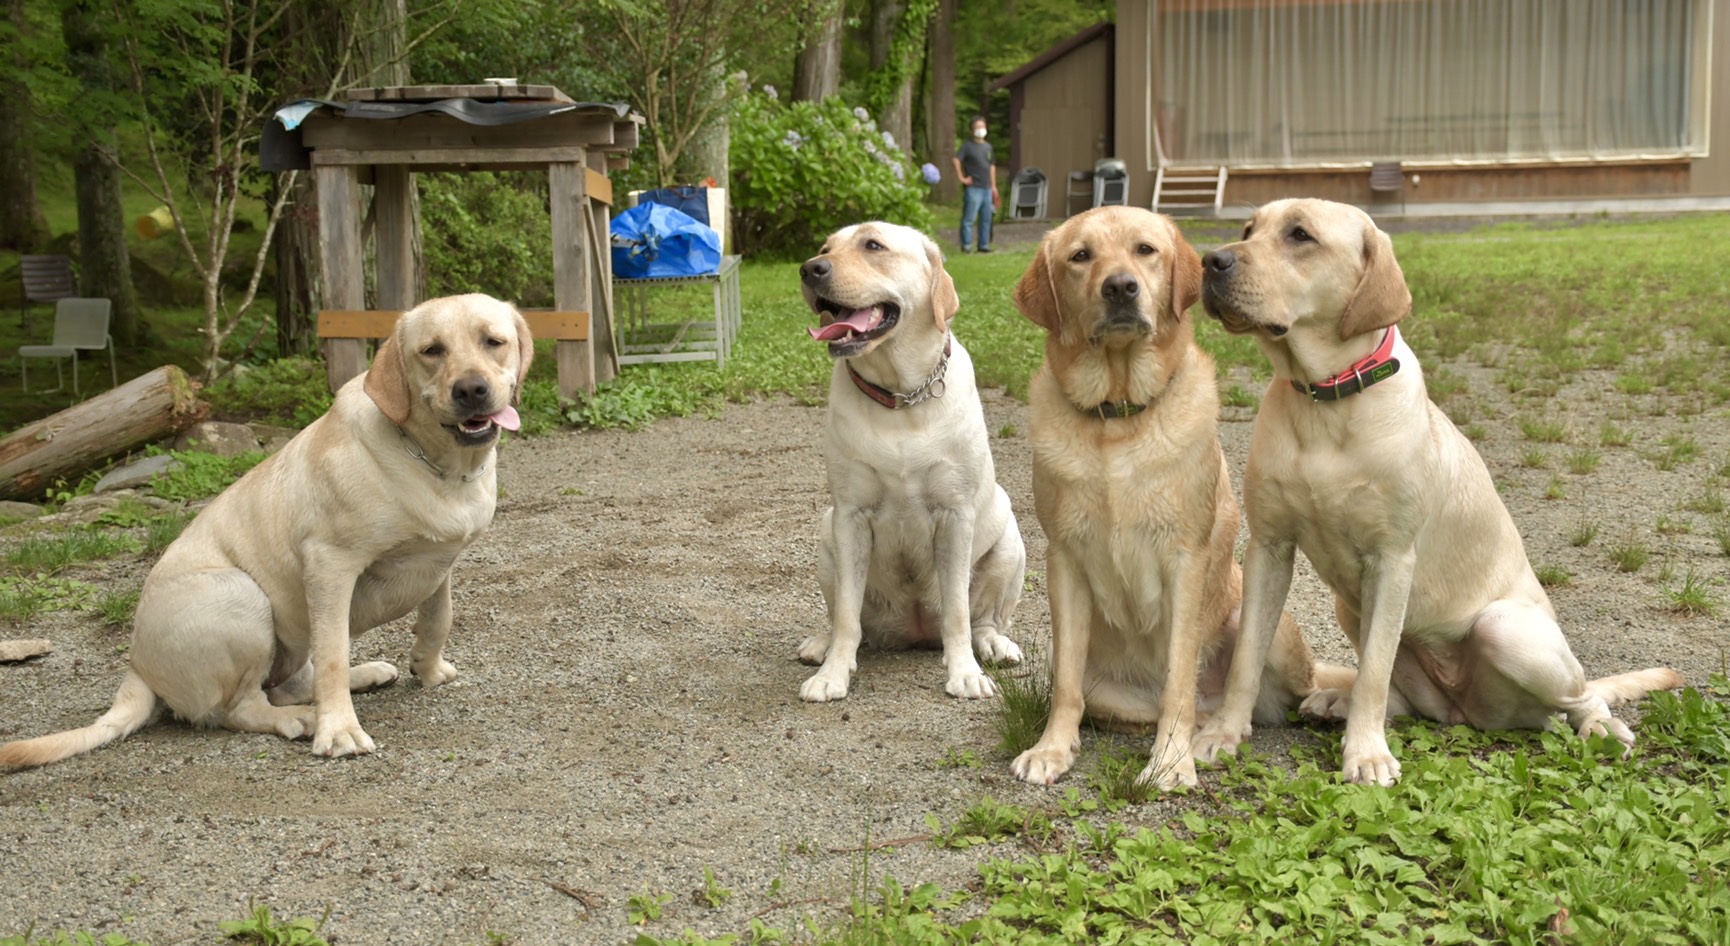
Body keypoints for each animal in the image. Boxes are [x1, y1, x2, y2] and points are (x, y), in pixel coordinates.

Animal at [0, 290, 529, 771]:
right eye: (432, 350)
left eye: (493, 341)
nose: (471, 389)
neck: (439, 465)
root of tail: (137, 665)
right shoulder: (330, 565)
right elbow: (332, 654)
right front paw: (339, 729)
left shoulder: (439, 563)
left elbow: (438, 619)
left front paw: (430, 669)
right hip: (241, 596)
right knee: (241, 708)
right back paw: (305, 717)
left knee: (291, 681)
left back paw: (363, 675)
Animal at [1003, 209, 1349, 792]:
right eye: (1080, 256)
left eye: (1146, 250)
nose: (1120, 287)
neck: (1118, 416)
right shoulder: (1065, 559)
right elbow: (1067, 683)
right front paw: (1052, 748)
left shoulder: (1185, 560)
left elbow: (1178, 680)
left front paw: (1169, 761)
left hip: (1267, 626)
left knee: (1275, 690)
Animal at [1197, 199, 1681, 785]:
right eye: (1249, 229)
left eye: (1300, 236)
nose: (1210, 260)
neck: (1325, 400)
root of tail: (1464, 712)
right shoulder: (1269, 547)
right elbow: (1248, 657)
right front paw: (1223, 733)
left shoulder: (1391, 559)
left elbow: (1374, 671)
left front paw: (1366, 755)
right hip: (1347, 607)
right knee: (1400, 698)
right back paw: (1337, 701)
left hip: (1506, 629)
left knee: (1581, 695)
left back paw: (1600, 724)